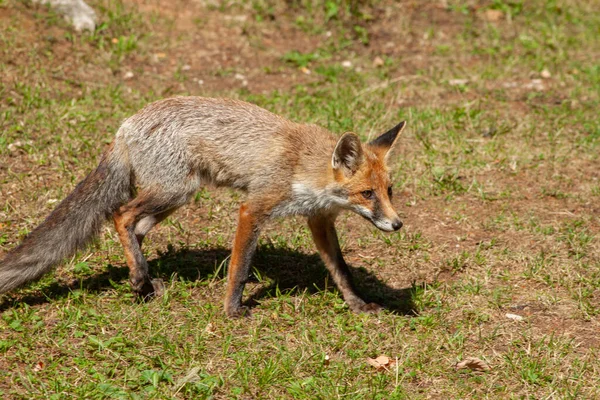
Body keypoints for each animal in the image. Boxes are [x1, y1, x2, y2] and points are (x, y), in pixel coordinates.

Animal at [0, 96, 406, 316]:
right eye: (367, 194)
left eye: (389, 190)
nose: (398, 224)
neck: (303, 166)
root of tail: (126, 125)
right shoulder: (254, 208)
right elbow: (239, 268)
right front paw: (232, 311)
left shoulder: (319, 219)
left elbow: (341, 270)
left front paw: (357, 305)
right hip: (176, 190)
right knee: (120, 215)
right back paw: (140, 277)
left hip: (174, 197)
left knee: (136, 229)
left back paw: (143, 279)